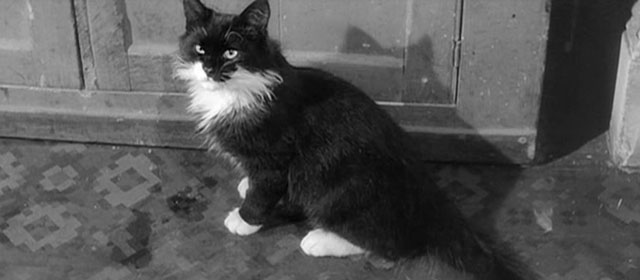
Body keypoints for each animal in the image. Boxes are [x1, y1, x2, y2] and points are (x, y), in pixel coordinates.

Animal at [174, 1, 536, 278]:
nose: (209, 69)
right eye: (200, 48)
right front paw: (245, 185)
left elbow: (264, 189)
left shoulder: (275, 156)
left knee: (392, 247)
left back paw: (320, 240)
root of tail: (432, 201)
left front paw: (244, 219)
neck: (241, 90)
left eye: (232, 52)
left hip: (340, 191)